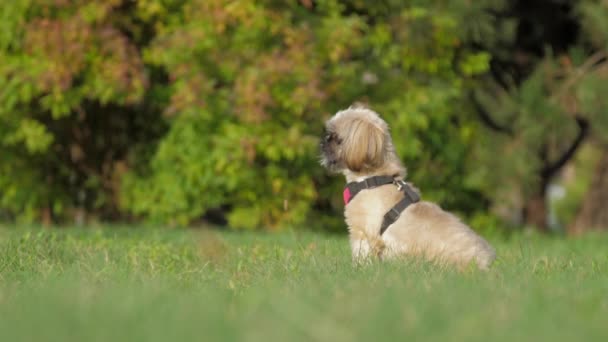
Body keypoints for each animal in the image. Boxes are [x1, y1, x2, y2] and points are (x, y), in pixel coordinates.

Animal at [320, 105, 496, 272]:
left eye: (336, 138)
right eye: (329, 136)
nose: (323, 141)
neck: (372, 178)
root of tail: (485, 265)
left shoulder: (363, 233)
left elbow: (361, 256)